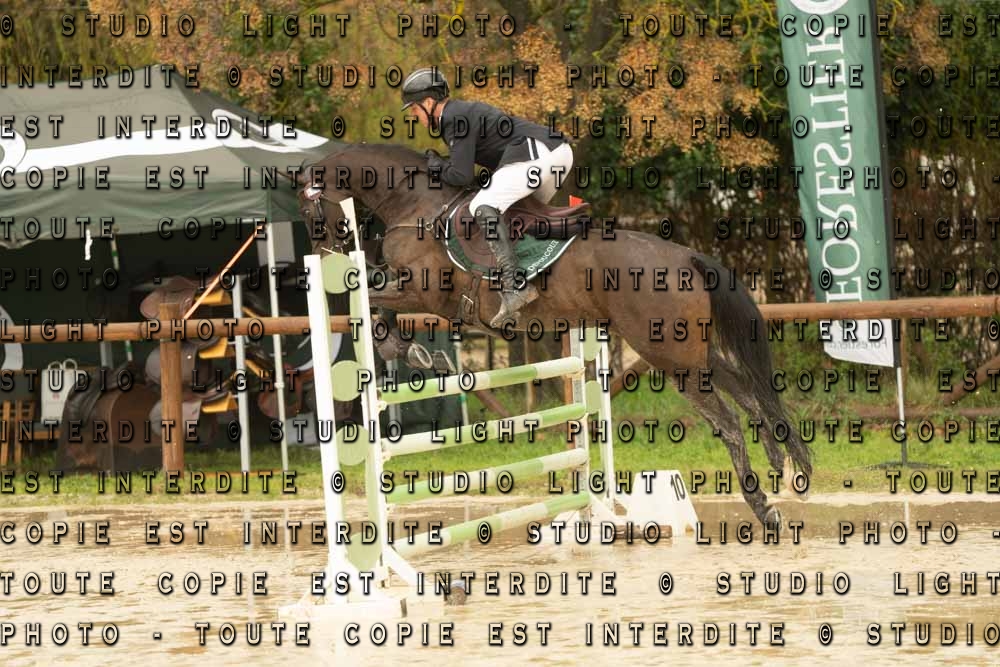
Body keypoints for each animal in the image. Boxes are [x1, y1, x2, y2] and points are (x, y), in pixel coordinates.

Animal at [295, 141, 811, 528]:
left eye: (307, 210)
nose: (327, 253)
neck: (415, 204)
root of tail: (686, 256)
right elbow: (378, 305)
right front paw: (421, 355)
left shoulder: (423, 291)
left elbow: (375, 304)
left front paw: (415, 354)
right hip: (688, 351)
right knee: (748, 390)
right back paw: (785, 465)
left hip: (668, 355)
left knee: (729, 420)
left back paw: (763, 507)